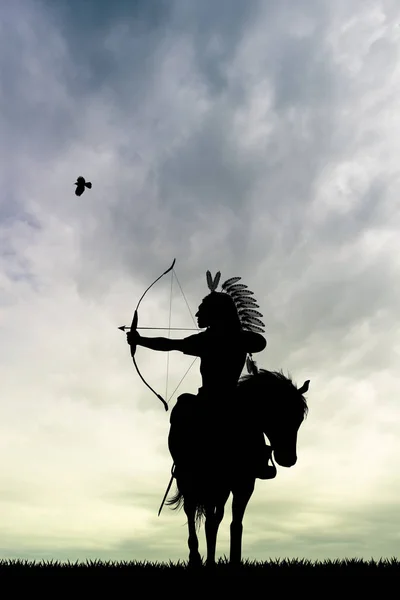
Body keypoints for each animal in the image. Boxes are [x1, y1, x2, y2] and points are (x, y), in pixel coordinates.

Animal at [166, 366, 310, 568]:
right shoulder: (211, 482)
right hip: (188, 480)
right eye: (277, 412)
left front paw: (234, 560)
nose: (288, 459)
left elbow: (235, 523)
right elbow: (208, 520)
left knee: (215, 518)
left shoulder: (244, 484)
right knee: (191, 510)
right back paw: (195, 557)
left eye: (299, 419)